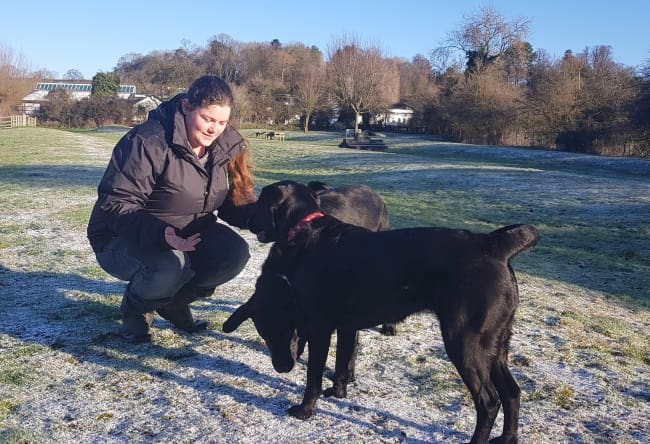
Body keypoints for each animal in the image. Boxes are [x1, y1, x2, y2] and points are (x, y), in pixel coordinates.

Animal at [225, 180, 540, 444]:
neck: (307, 231)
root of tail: (494, 246)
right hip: (495, 345)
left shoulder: (320, 327)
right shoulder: (346, 326)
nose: (246, 219)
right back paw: (507, 438)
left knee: (489, 401)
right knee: (512, 393)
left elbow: (314, 375)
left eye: (261, 203)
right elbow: (343, 362)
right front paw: (338, 392)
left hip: (465, 342)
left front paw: (305, 410)